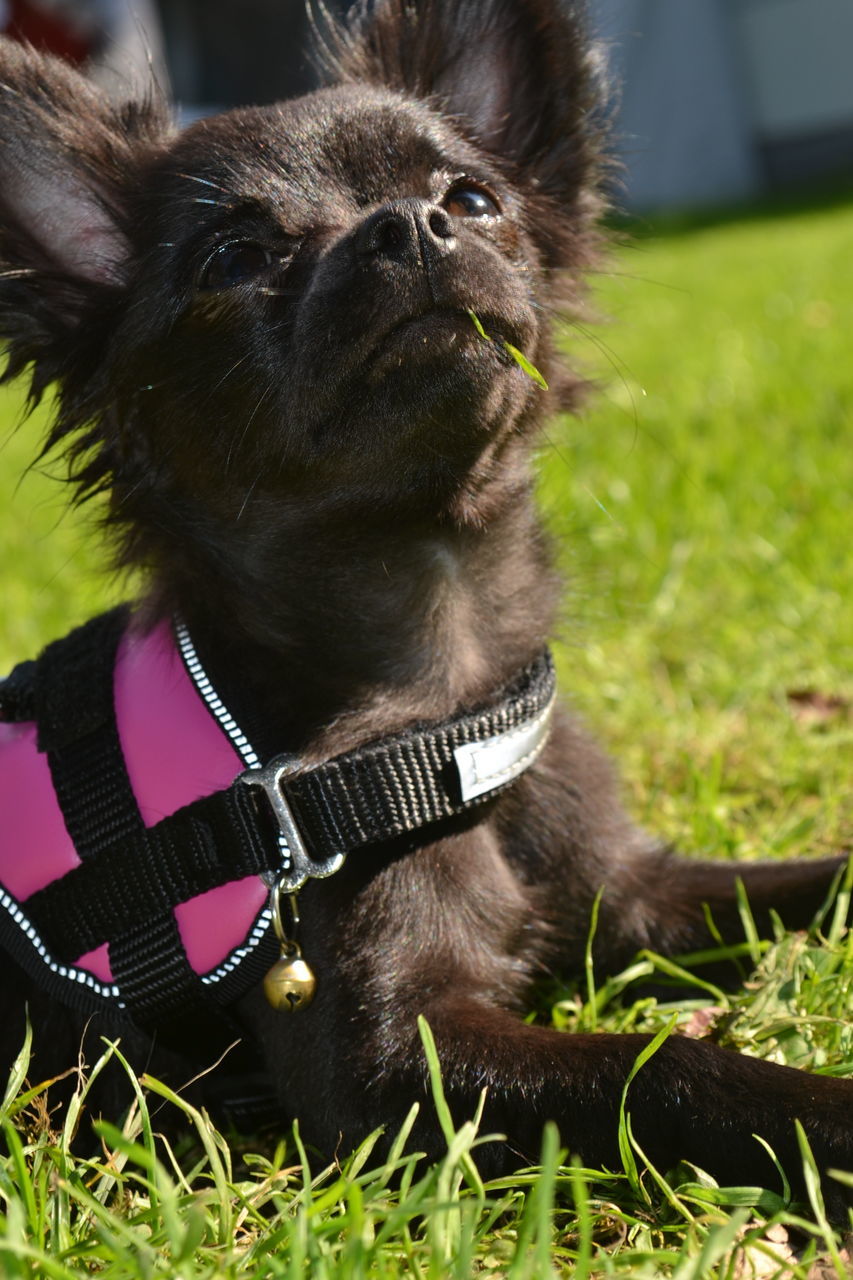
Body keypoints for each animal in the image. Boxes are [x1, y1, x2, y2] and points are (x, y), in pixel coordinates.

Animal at [0, 0, 845, 1208]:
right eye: (235, 257)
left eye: (473, 198)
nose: (410, 227)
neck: (446, 696)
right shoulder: (396, 1067)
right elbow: (660, 1069)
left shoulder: (635, 890)